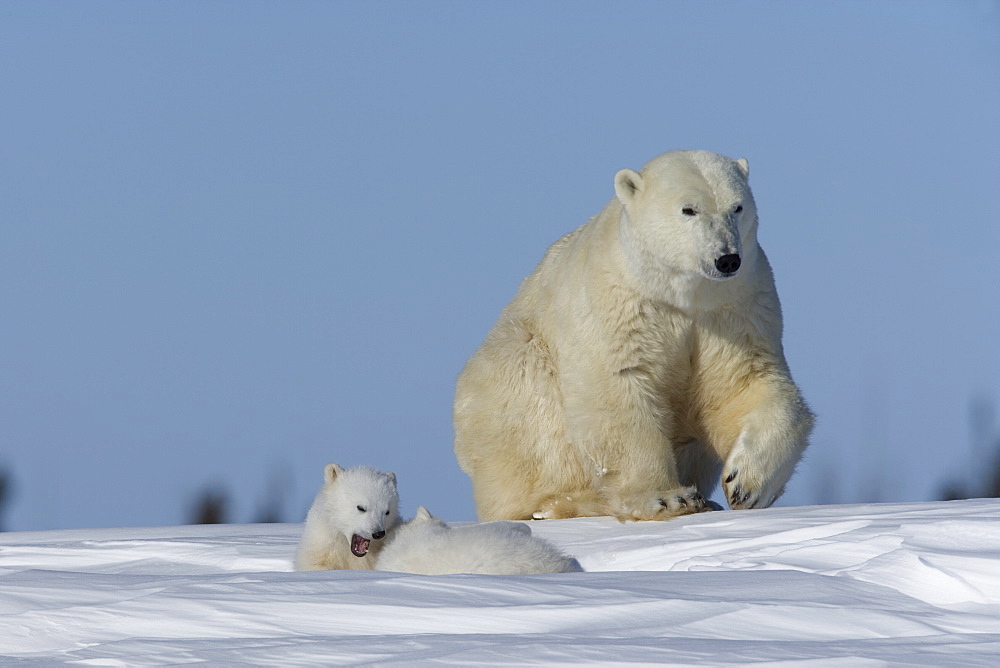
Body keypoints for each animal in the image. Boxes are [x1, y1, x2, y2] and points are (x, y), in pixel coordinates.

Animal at [454, 150, 812, 520]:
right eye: (689, 209)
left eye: (737, 207)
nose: (727, 258)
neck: (678, 294)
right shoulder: (618, 303)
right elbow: (619, 387)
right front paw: (669, 498)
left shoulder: (735, 307)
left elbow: (744, 383)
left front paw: (746, 484)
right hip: (509, 376)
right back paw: (565, 503)